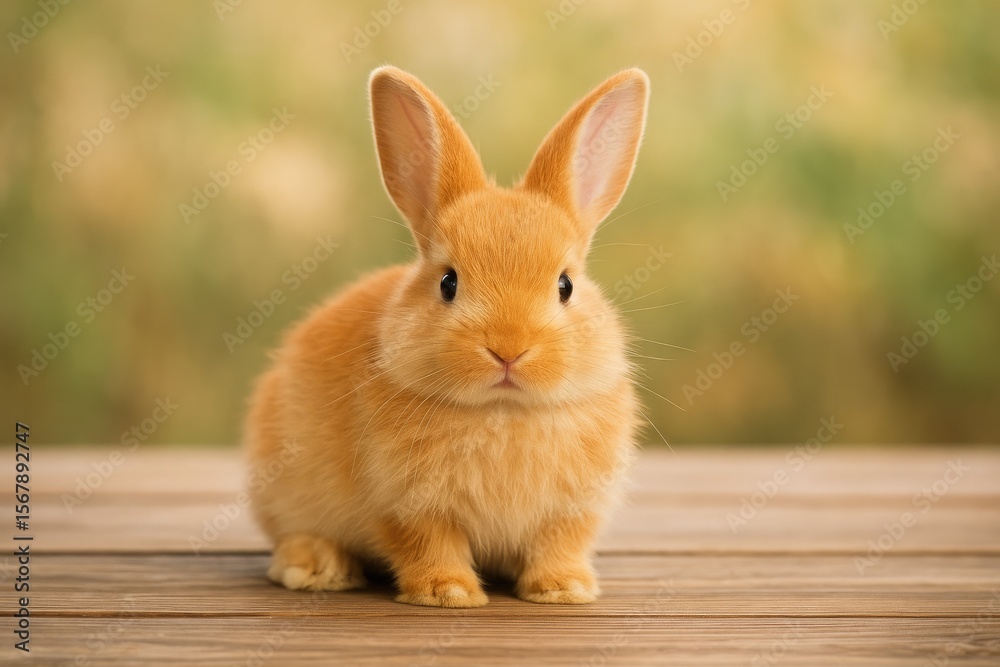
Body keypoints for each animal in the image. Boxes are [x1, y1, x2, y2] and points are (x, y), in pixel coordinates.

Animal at [245, 65, 649, 607]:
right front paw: (447, 592)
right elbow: (427, 543)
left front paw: (565, 589)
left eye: (565, 285)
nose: (508, 350)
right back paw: (315, 567)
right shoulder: (403, 503)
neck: (503, 409)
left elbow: (558, 545)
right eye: (448, 283)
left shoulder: (572, 510)